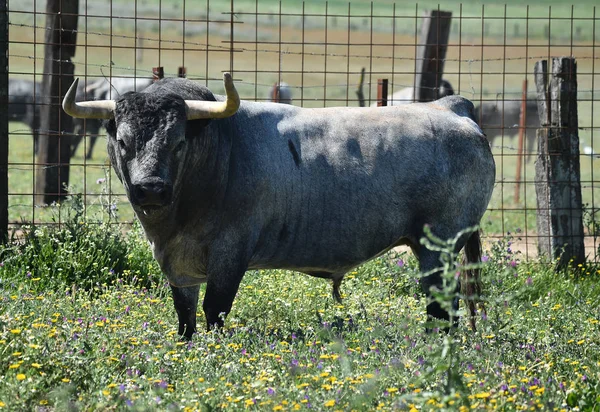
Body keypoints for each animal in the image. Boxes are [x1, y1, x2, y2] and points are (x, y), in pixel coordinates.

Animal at [63, 72, 496, 340]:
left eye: (179, 142)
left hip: (438, 247)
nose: (150, 189)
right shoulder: (179, 266)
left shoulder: (230, 255)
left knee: (442, 309)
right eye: (122, 142)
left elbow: (214, 311)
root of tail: (450, 107)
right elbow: (186, 318)